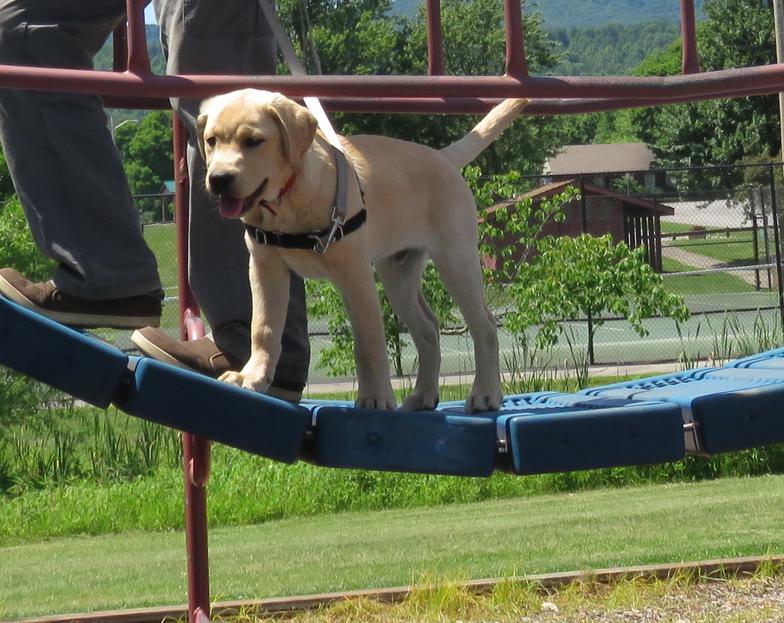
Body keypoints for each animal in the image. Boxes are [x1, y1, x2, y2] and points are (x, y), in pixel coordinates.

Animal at [196, 90, 528, 412]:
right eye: (211, 141)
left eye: (253, 141)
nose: (219, 179)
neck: (288, 199)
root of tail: (441, 156)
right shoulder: (265, 267)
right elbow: (263, 327)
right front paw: (251, 378)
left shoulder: (355, 275)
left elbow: (369, 342)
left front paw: (377, 397)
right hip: (398, 273)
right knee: (428, 328)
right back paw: (423, 395)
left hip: (456, 259)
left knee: (484, 326)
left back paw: (485, 394)